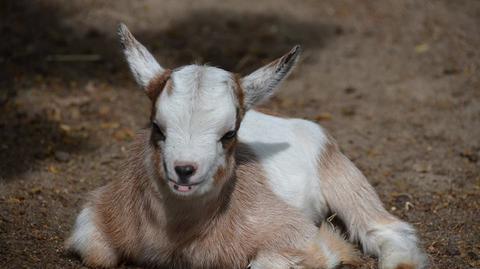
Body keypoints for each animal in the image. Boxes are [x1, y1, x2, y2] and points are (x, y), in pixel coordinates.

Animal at [64, 23, 428, 268]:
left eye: (229, 134)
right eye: (157, 126)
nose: (184, 171)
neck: (177, 236)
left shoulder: (296, 234)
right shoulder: (95, 216)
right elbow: (98, 255)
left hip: (343, 179)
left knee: (385, 228)